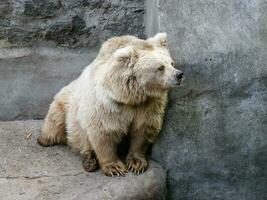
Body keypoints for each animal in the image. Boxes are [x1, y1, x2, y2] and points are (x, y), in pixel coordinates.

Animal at [37, 33, 184, 177]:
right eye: (160, 67)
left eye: (171, 63)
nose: (179, 74)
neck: (129, 96)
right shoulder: (106, 104)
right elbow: (104, 131)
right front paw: (115, 167)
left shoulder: (148, 104)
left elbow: (142, 129)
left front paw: (137, 163)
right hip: (66, 104)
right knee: (59, 122)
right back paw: (49, 141)